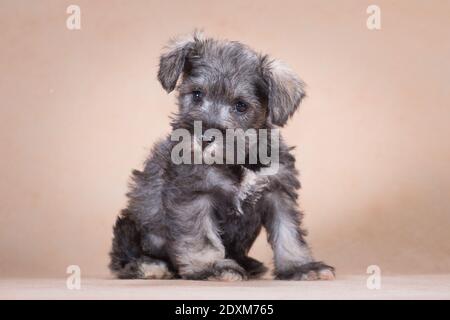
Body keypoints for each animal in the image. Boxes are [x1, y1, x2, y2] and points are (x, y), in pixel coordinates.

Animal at [108, 32, 334, 280]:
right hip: (131, 225)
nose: (205, 138)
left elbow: (289, 234)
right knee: (124, 255)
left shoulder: (278, 193)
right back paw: (150, 266)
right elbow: (202, 238)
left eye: (241, 106)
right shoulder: (194, 195)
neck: (240, 161)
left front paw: (300, 267)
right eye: (197, 94)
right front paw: (211, 267)